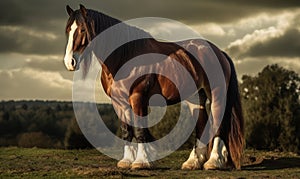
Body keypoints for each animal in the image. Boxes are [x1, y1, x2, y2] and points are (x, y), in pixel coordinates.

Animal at [63, 3, 244, 169]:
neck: (124, 57)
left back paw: (213, 162)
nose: (69, 62)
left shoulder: (138, 98)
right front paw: (126, 161)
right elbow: (127, 131)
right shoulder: (119, 102)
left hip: (217, 93)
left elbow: (140, 130)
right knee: (201, 124)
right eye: (68, 30)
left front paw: (141, 162)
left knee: (218, 123)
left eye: (83, 30)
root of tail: (219, 52)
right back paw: (193, 162)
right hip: (195, 96)